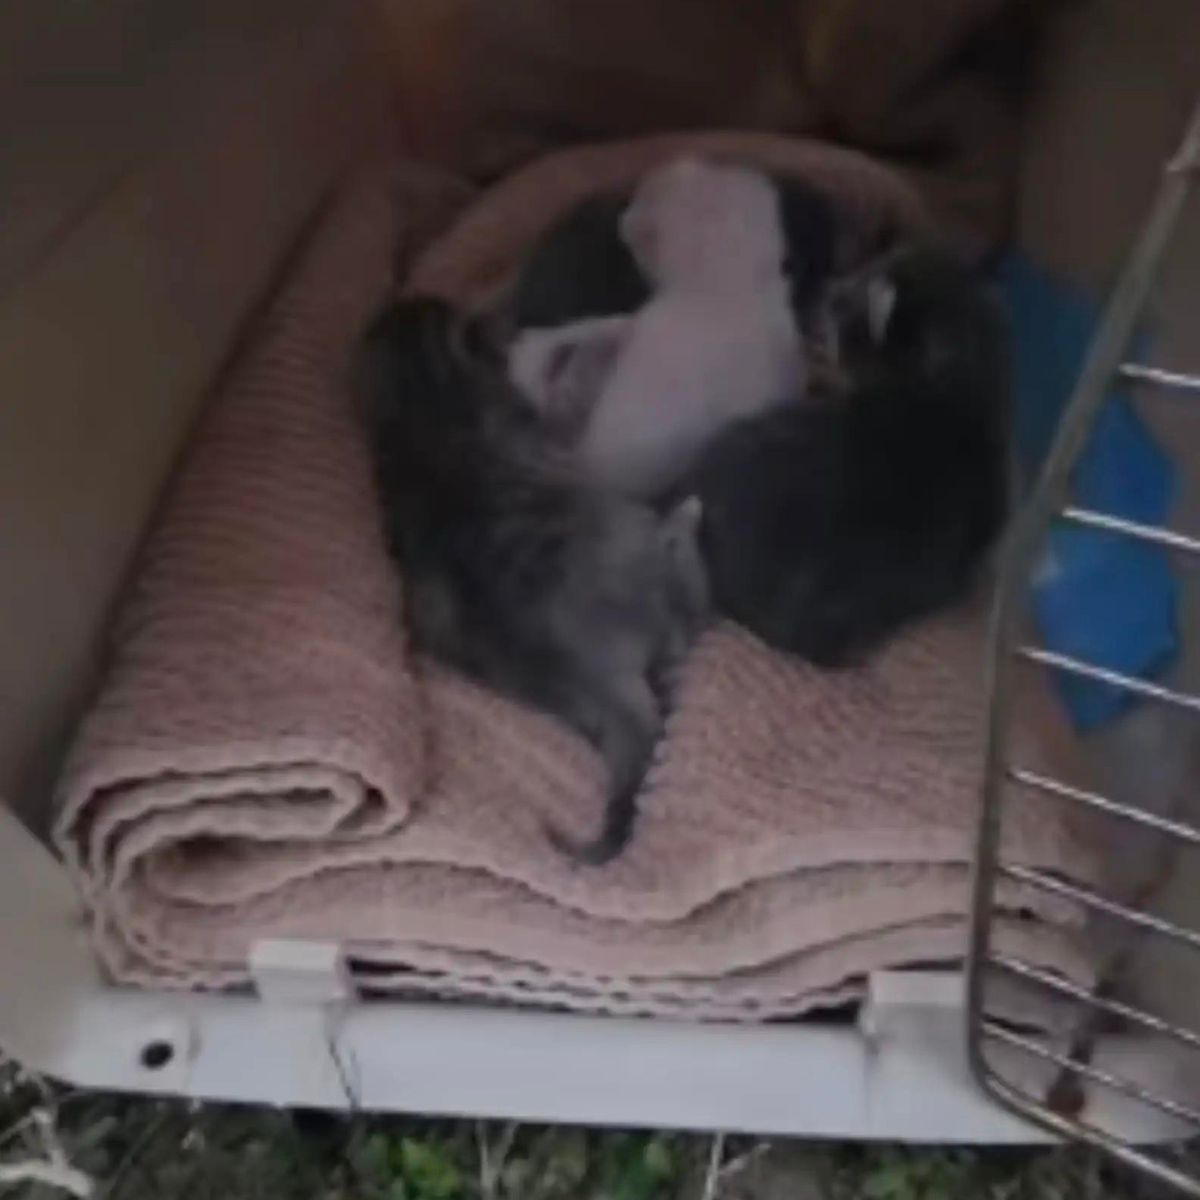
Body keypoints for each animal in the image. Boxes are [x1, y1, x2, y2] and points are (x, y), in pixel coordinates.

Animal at [360, 297, 705, 864]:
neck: (423, 403)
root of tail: (594, 674)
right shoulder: (545, 426)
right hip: (630, 531)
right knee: (687, 614)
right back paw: (686, 517)